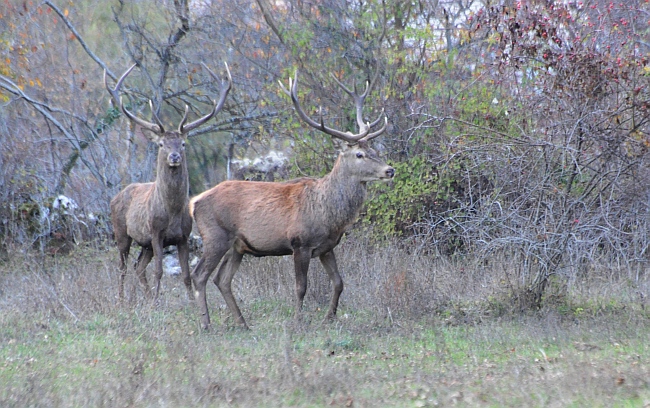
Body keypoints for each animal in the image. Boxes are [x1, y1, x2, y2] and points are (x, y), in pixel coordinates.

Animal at [108, 62, 233, 302]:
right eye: (161, 144)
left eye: (182, 143)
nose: (174, 156)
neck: (172, 213)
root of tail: (116, 196)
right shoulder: (155, 232)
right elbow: (158, 271)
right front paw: (158, 303)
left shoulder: (183, 236)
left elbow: (185, 274)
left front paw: (191, 302)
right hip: (121, 232)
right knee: (122, 267)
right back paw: (121, 300)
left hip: (145, 244)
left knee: (138, 267)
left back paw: (142, 298)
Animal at [187, 70, 390, 330]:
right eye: (359, 154)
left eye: (375, 150)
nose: (390, 170)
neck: (329, 213)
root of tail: (194, 202)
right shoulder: (300, 243)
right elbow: (301, 287)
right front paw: (297, 321)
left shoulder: (327, 247)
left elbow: (338, 282)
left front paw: (329, 317)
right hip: (215, 236)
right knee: (199, 275)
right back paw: (206, 324)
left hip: (237, 246)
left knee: (221, 279)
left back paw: (243, 323)